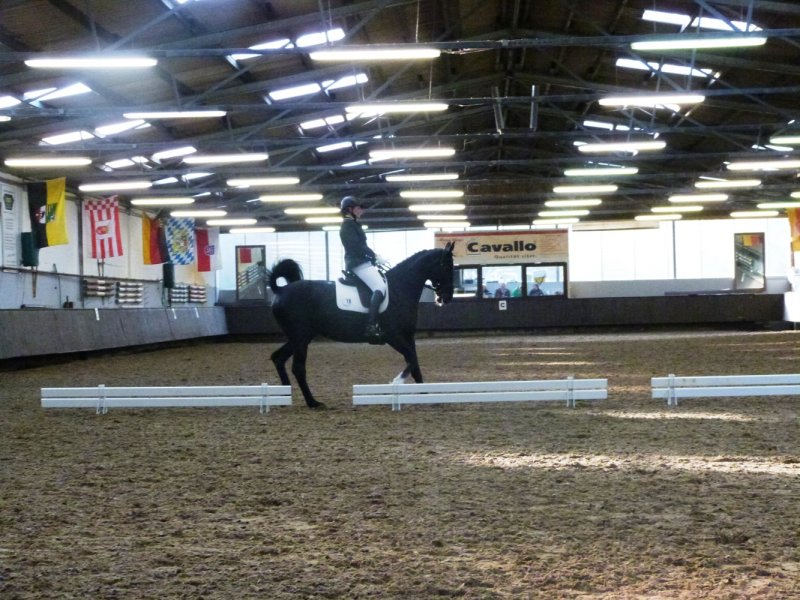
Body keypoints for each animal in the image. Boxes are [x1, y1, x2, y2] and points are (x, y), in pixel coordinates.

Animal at [266, 243, 455, 408]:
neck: (399, 289)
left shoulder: (408, 336)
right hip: (300, 337)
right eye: (447, 267)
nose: (447, 298)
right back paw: (313, 403)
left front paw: (425, 395)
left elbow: (415, 364)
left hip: (301, 337)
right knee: (298, 368)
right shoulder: (393, 336)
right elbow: (412, 359)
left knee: (278, 358)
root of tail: (281, 291)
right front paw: (396, 382)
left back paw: (284, 397)